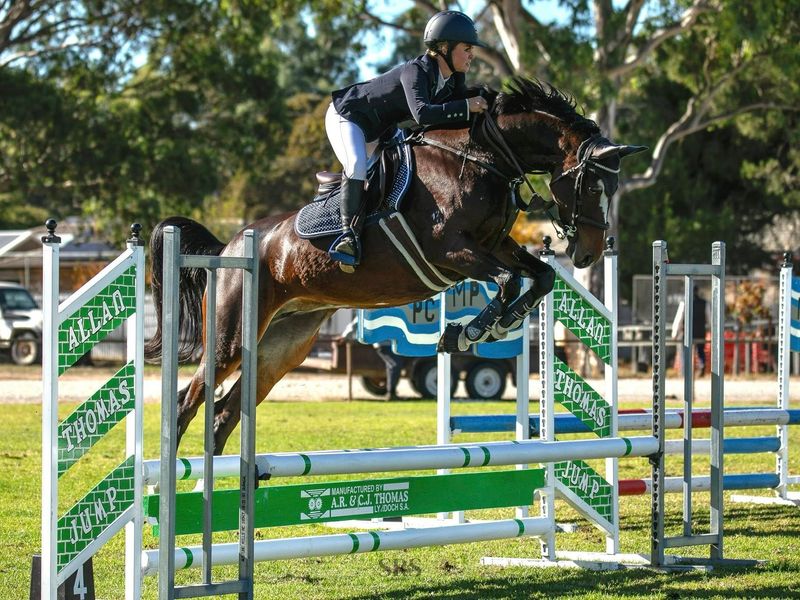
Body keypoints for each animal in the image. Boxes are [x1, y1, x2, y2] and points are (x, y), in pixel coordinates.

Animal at [144, 77, 646, 455]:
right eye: (593, 186)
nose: (588, 255)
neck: (482, 157)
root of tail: (227, 248)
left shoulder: (495, 245)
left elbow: (537, 276)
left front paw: (492, 326)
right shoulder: (452, 253)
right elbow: (507, 281)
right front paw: (468, 332)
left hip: (280, 347)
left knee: (225, 414)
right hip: (231, 339)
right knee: (187, 401)